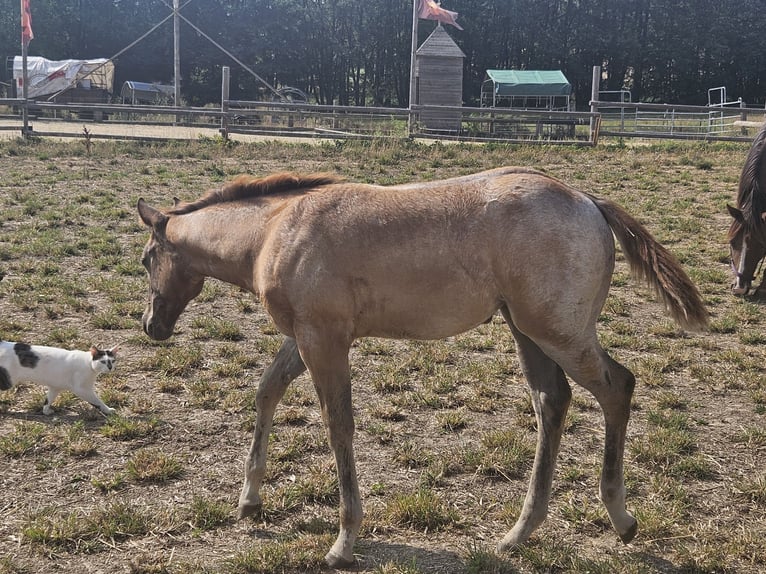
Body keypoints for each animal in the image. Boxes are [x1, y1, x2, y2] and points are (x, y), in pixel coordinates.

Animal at [137, 166, 708, 568]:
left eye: (145, 260)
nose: (150, 325)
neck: (273, 231)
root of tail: (589, 201)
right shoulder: (306, 337)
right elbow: (266, 391)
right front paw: (250, 502)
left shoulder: (324, 340)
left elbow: (338, 426)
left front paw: (344, 541)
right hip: (528, 331)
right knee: (553, 401)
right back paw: (519, 532)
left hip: (558, 332)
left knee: (617, 386)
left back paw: (620, 517)